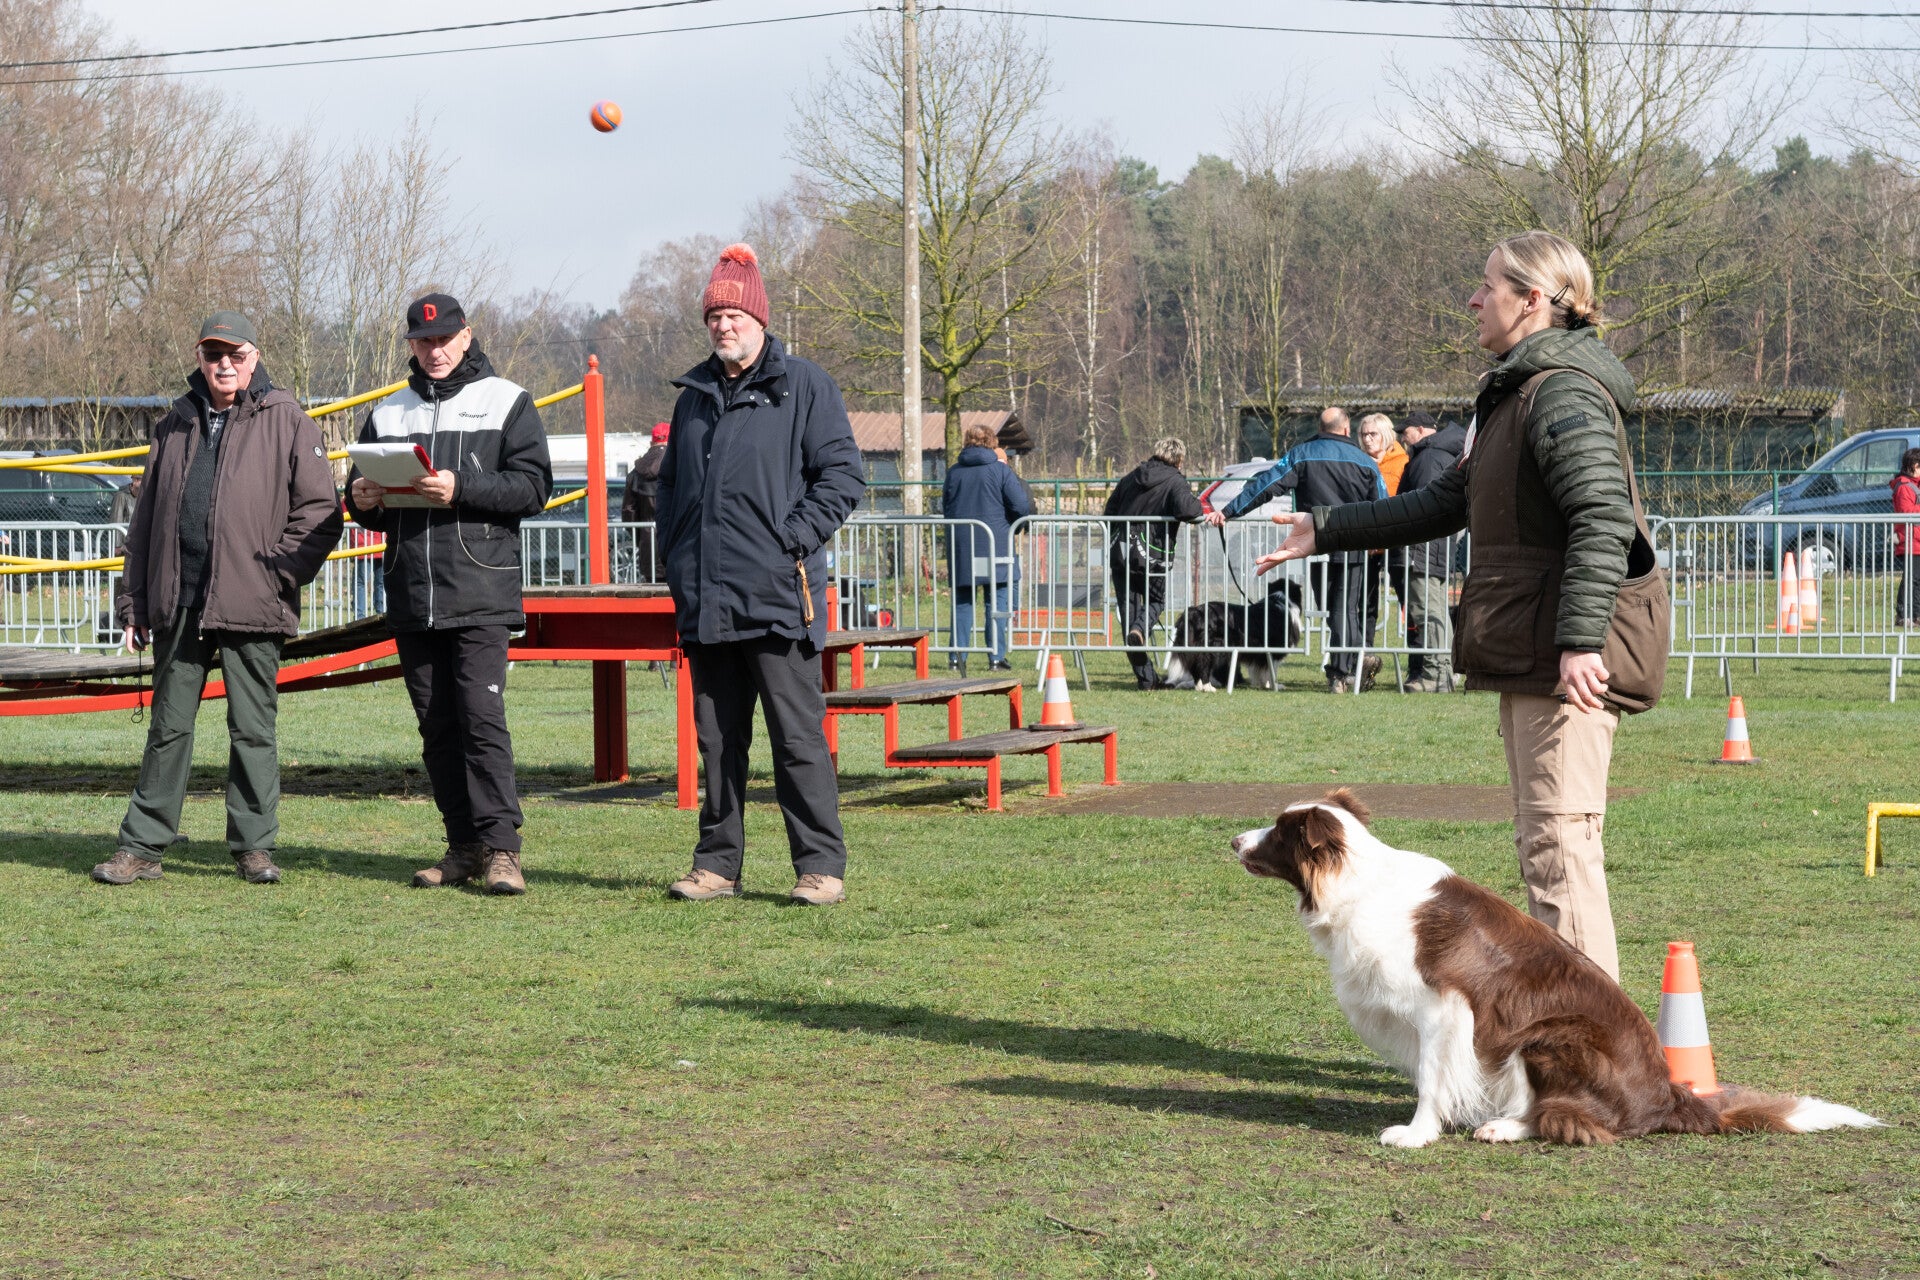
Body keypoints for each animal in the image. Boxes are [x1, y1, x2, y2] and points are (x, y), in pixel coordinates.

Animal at [1164, 584, 1305, 692]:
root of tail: (1193, 611)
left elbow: (1261, 670)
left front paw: (1263, 684)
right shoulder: (1274, 650)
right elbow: (1272, 670)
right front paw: (1275, 686)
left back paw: (1200, 687)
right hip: (1212, 647)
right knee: (1202, 665)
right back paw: (1208, 687)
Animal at [1233, 789, 1883, 1147]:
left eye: (1280, 832)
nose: (1234, 840)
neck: (1356, 883)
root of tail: (1669, 1098)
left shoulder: (1444, 1010)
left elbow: (1434, 1077)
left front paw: (1417, 1134)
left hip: (1544, 1035)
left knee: (1567, 1119)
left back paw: (1504, 1127)